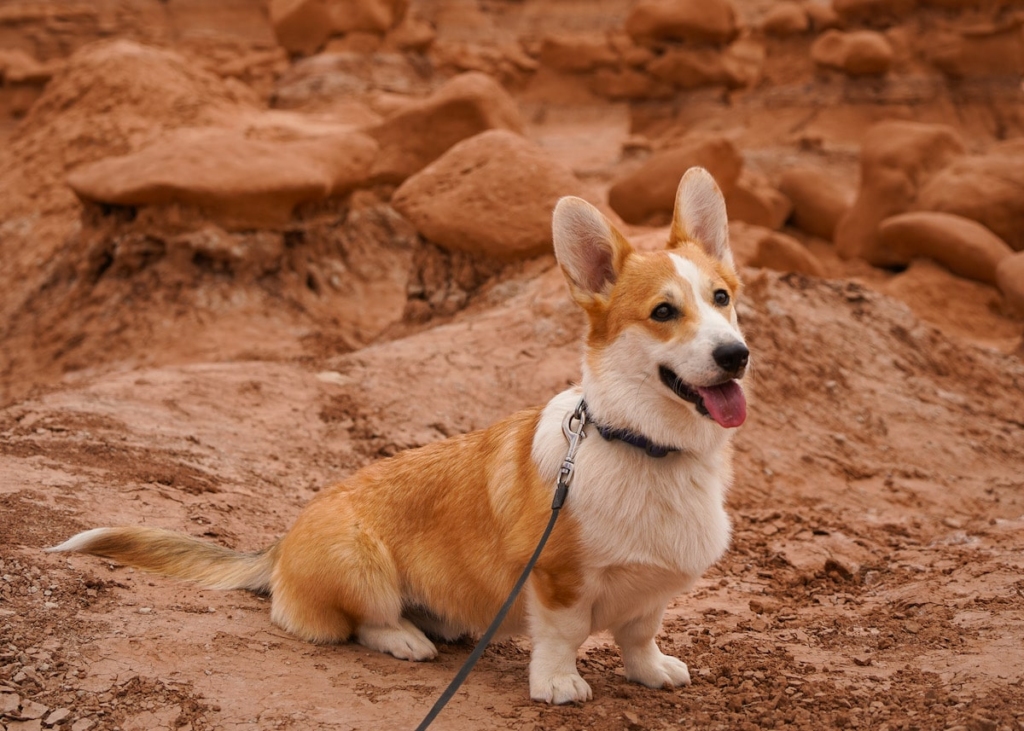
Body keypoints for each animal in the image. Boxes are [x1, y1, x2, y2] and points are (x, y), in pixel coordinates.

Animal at [49, 164, 753, 700]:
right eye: (663, 312)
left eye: (721, 299)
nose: (735, 355)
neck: (646, 446)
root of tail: (281, 544)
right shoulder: (556, 580)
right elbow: (563, 635)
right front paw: (558, 685)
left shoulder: (651, 593)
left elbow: (639, 635)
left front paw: (652, 672)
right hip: (361, 563)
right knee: (357, 623)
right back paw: (407, 638)